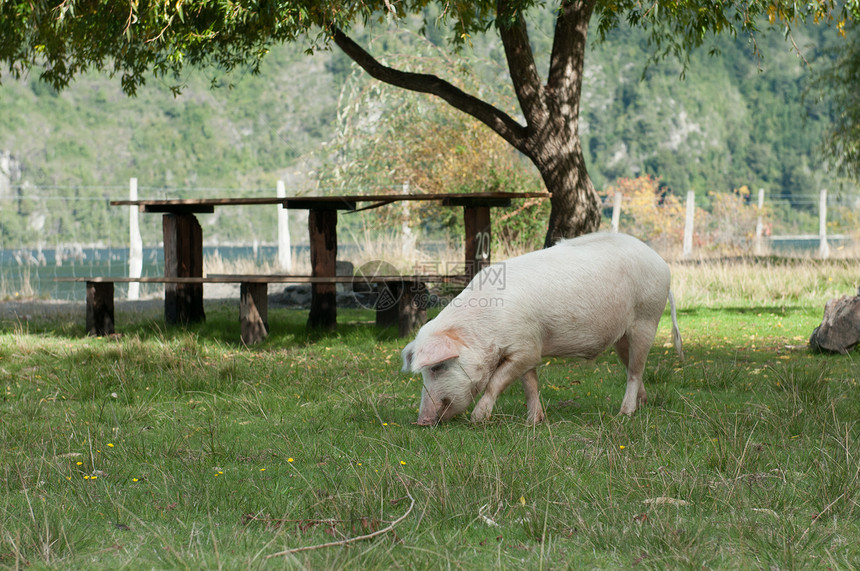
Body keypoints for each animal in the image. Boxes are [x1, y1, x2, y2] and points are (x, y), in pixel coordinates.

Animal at [400, 231, 680, 424]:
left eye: (437, 367)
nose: (421, 421)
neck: (485, 327)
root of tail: (662, 263)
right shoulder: (528, 344)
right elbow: (529, 384)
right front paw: (534, 421)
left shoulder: (526, 348)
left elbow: (496, 381)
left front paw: (477, 419)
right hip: (623, 336)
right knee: (634, 367)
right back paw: (643, 404)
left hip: (647, 318)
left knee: (635, 370)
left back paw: (624, 413)